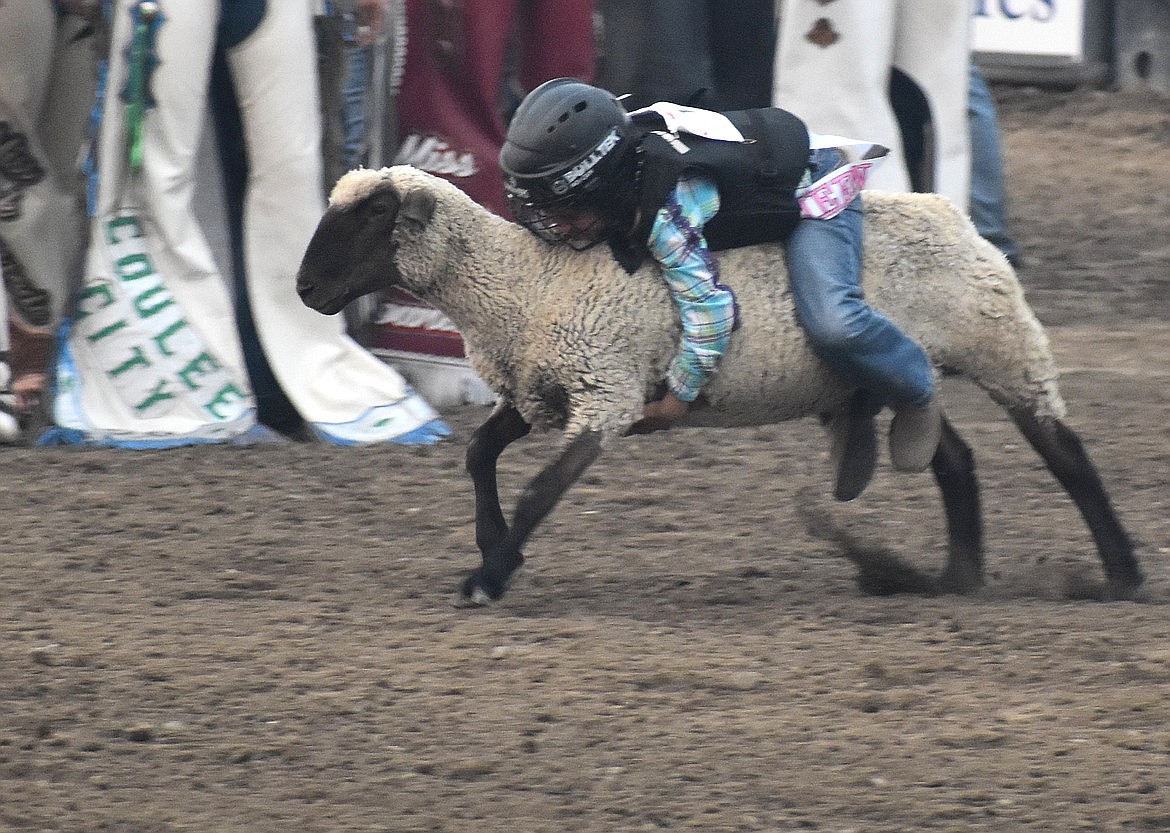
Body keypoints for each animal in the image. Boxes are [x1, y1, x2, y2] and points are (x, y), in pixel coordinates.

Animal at [294, 163, 1141, 603]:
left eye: (374, 213)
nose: (303, 288)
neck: (523, 282)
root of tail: (953, 213)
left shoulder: (606, 393)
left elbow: (538, 490)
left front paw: (490, 574)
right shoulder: (541, 392)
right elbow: (478, 455)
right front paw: (492, 548)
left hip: (1003, 347)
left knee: (1066, 453)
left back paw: (1121, 573)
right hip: (906, 372)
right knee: (953, 454)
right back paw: (955, 576)